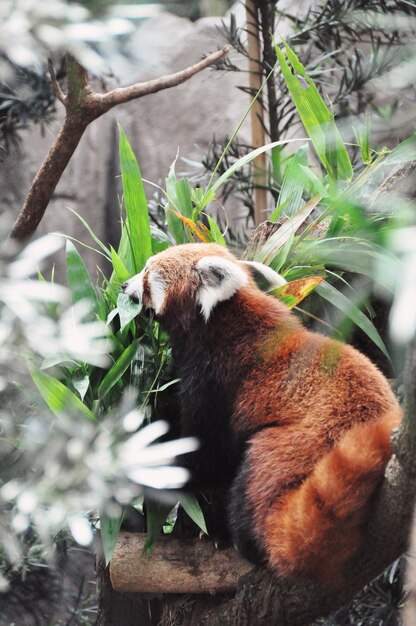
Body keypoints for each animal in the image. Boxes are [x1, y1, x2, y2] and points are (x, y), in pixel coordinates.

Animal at [122, 243, 402, 580]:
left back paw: (244, 541)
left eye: (148, 272)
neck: (217, 323)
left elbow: (206, 455)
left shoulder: (216, 380)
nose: (123, 285)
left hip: (288, 447)